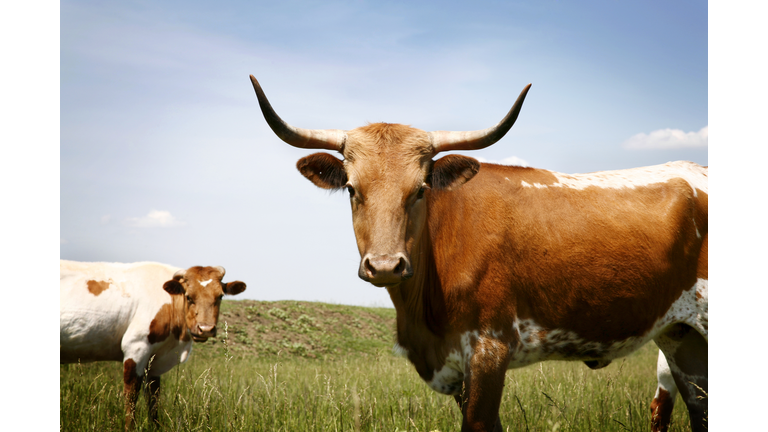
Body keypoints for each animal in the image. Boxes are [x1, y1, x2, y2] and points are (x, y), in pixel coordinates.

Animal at [60, 260, 246, 428]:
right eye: (188, 296)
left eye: (220, 296)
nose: (206, 329)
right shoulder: (136, 347)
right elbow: (131, 396)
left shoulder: (155, 362)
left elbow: (153, 399)